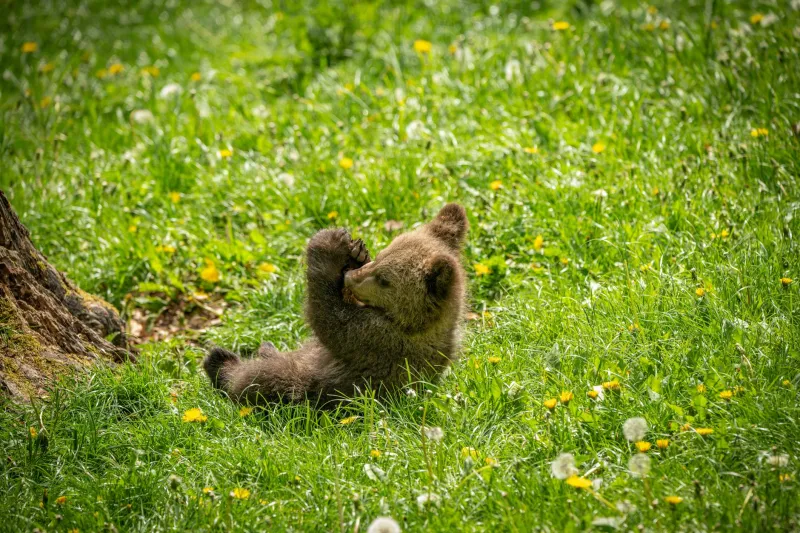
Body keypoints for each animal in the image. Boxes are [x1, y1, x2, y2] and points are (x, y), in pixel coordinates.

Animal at [203, 203, 468, 405]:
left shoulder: (377, 341)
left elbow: (329, 319)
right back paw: (265, 347)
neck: (410, 322)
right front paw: (356, 252)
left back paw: (220, 360)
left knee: (262, 378)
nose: (351, 276)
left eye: (384, 280)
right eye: (383, 253)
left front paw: (329, 245)